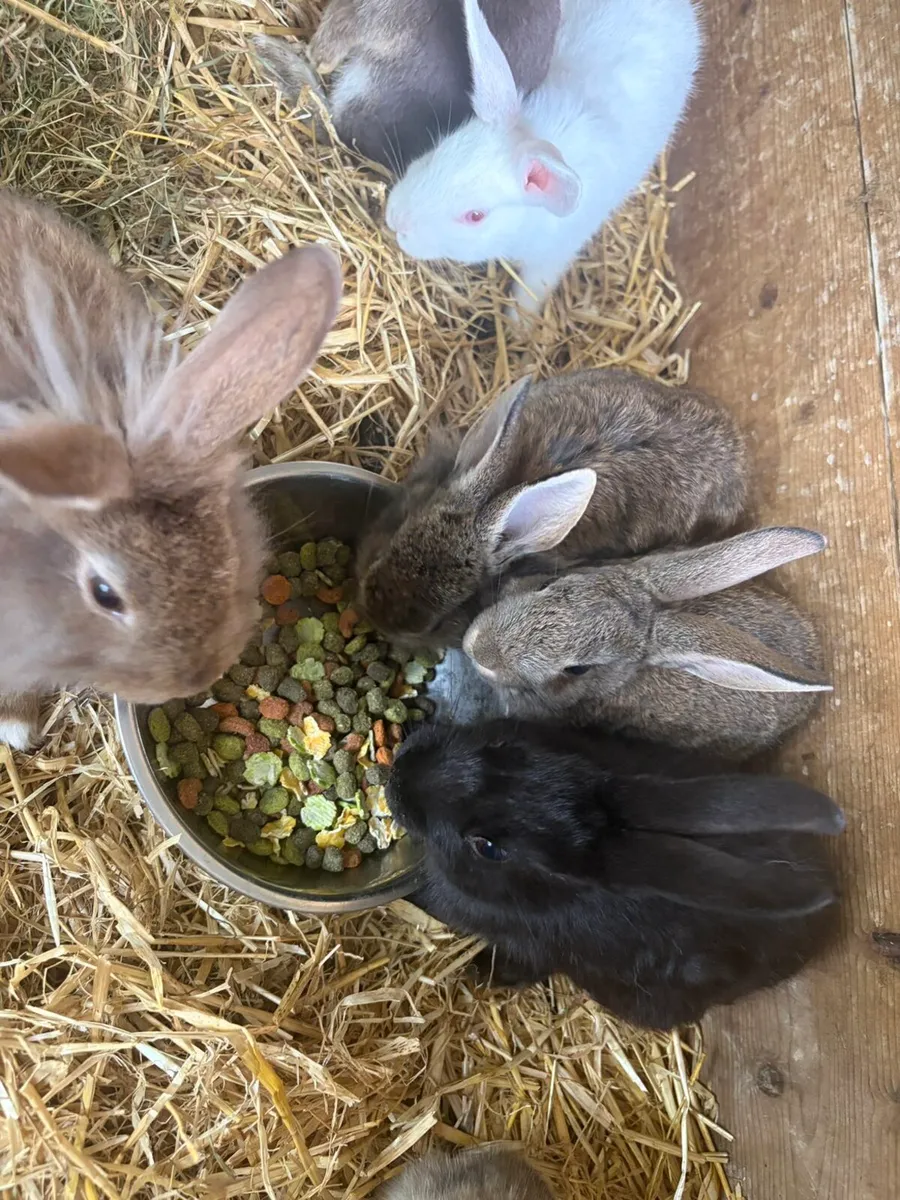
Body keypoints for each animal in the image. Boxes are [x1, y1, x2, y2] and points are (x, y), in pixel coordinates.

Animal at [385, 0, 701, 313]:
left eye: (475, 216)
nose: (396, 220)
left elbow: (529, 296)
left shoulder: (550, 260)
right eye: (437, 152)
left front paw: (516, 325)